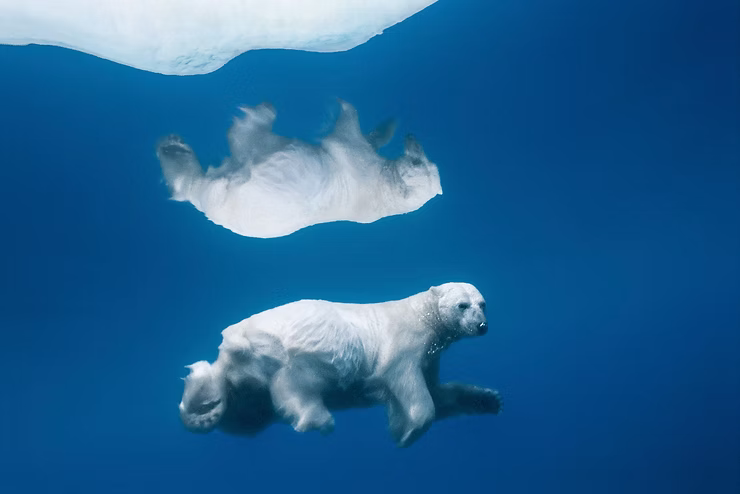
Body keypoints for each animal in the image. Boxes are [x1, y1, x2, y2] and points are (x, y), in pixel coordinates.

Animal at [156, 100, 442, 238]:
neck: (384, 193)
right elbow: (369, 137)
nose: (412, 138)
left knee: (243, 144)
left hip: (235, 190)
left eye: (418, 162)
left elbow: (347, 129)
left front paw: (341, 106)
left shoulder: (356, 161)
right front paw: (388, 126)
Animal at [179, 282, 502, 447]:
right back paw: (316, 419)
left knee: (244, 416)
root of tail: (230, 348)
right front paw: (406, 432)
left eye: (483, 303)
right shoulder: (404, 344)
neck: (422, 315)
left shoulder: (431, 355)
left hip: (248, 387)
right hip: (292, 354)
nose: (482, 326)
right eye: (462, 305)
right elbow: (409, 385)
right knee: (295, 387)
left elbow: (439, 392)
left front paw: (488, 399)